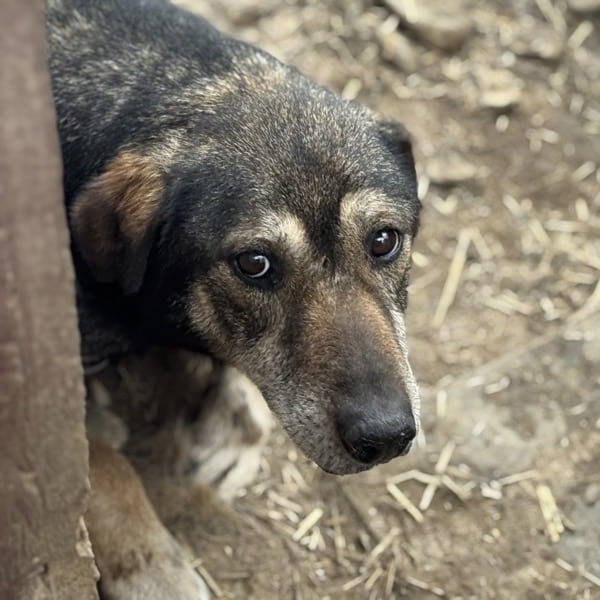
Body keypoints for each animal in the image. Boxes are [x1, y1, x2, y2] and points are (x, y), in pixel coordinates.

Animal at [47, 0, 422, 596]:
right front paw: (151, 564)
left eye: (384, 240)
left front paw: (232, 425)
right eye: (255, 264)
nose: (386, 436)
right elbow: (101, 465)